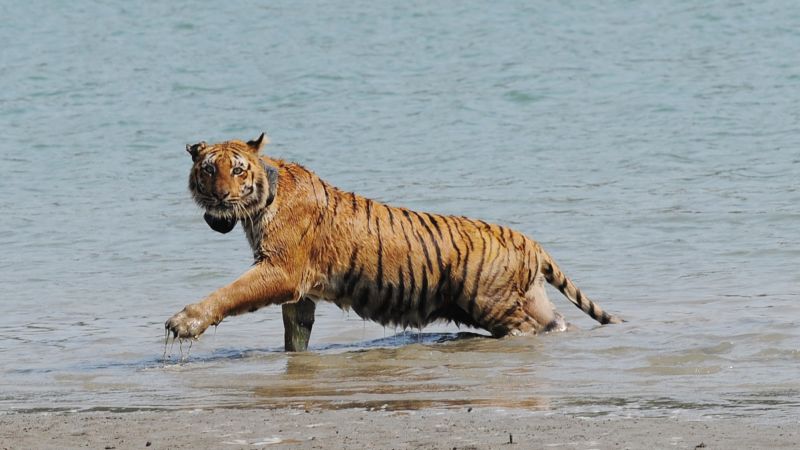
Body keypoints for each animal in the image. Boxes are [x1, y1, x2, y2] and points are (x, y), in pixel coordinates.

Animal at [165, 133, 623, 343]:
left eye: (237, 170)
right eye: (209, 169)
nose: (219, 196)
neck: (261, 201)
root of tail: (530, 241)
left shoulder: (281, 270)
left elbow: (230, 292)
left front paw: (184, 322)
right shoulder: (300, 293)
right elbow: (296, 336)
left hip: (492, 305)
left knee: (523, 330)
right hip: (527, 302)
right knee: (556, 322)